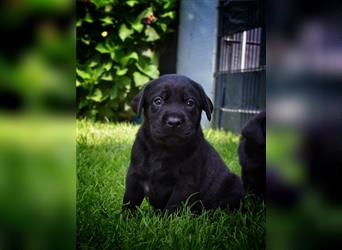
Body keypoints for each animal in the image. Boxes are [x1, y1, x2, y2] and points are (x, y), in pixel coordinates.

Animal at [121, 73, 244, 213]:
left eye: (190, 102)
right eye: (158, 101)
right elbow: (129, 200)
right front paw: (125, 217)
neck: (163, 149)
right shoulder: (134, 175)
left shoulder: (185, 183)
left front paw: (167, 218)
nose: (174, 121)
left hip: (234, 186)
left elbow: (173, 206)